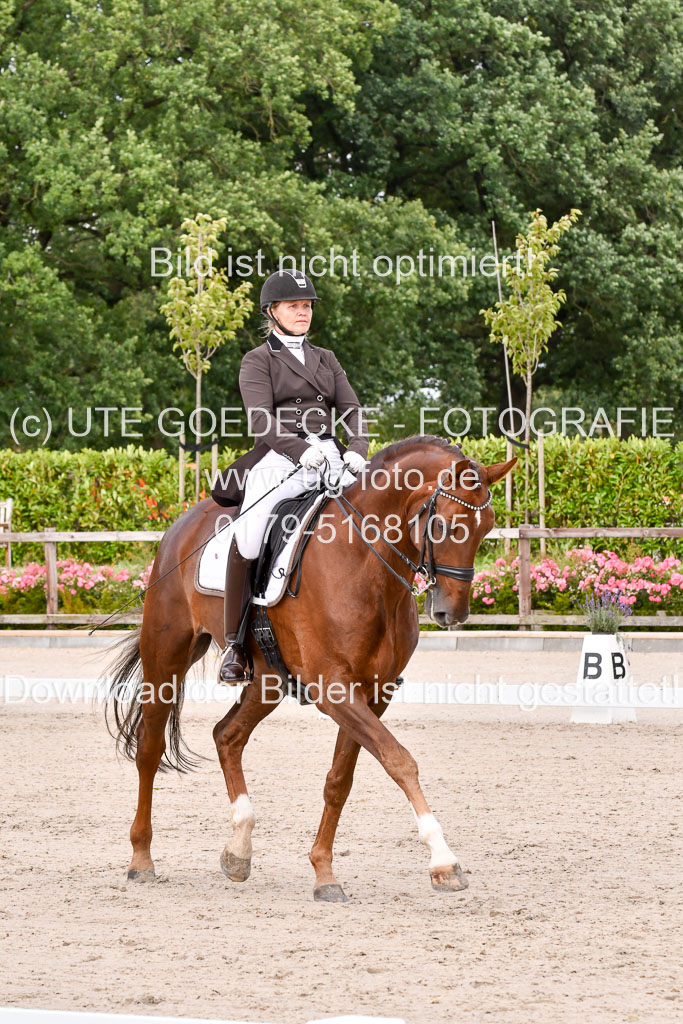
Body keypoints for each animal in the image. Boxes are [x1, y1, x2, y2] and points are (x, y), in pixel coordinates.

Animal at [105, 434, 516, 901]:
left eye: (486, 528)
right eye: (444, 526)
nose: (453, 613)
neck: (363, 563)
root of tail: (182, 525)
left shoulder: (373, 693)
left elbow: (340, 780)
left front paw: (324, 872)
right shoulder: (334, 689)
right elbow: (399, 760)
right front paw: (443, 861)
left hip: (266, 679)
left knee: (227, 735)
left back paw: (238, 849)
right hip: (167, 655)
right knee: (150, 747)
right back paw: (141, 859)